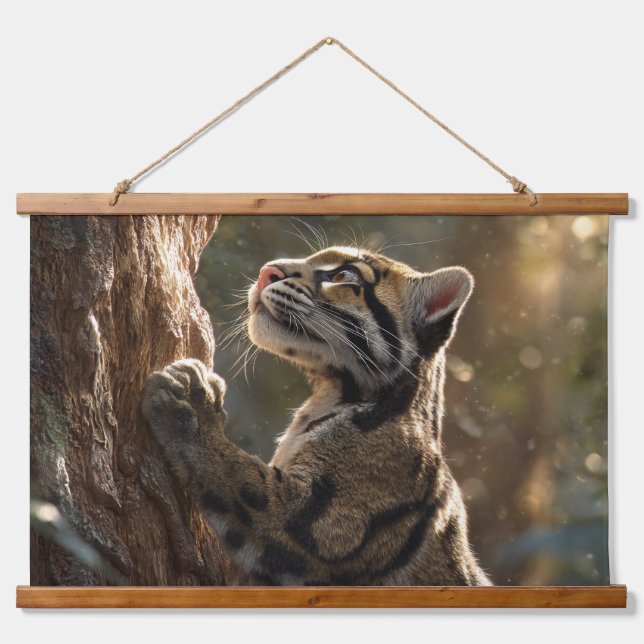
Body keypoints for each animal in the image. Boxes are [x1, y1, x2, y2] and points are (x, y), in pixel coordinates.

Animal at [142, 244, 491, 586]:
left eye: (346, 275)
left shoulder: (318, 528)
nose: (266, 272)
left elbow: (236, 473)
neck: (329, 393)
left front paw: (192, 401)